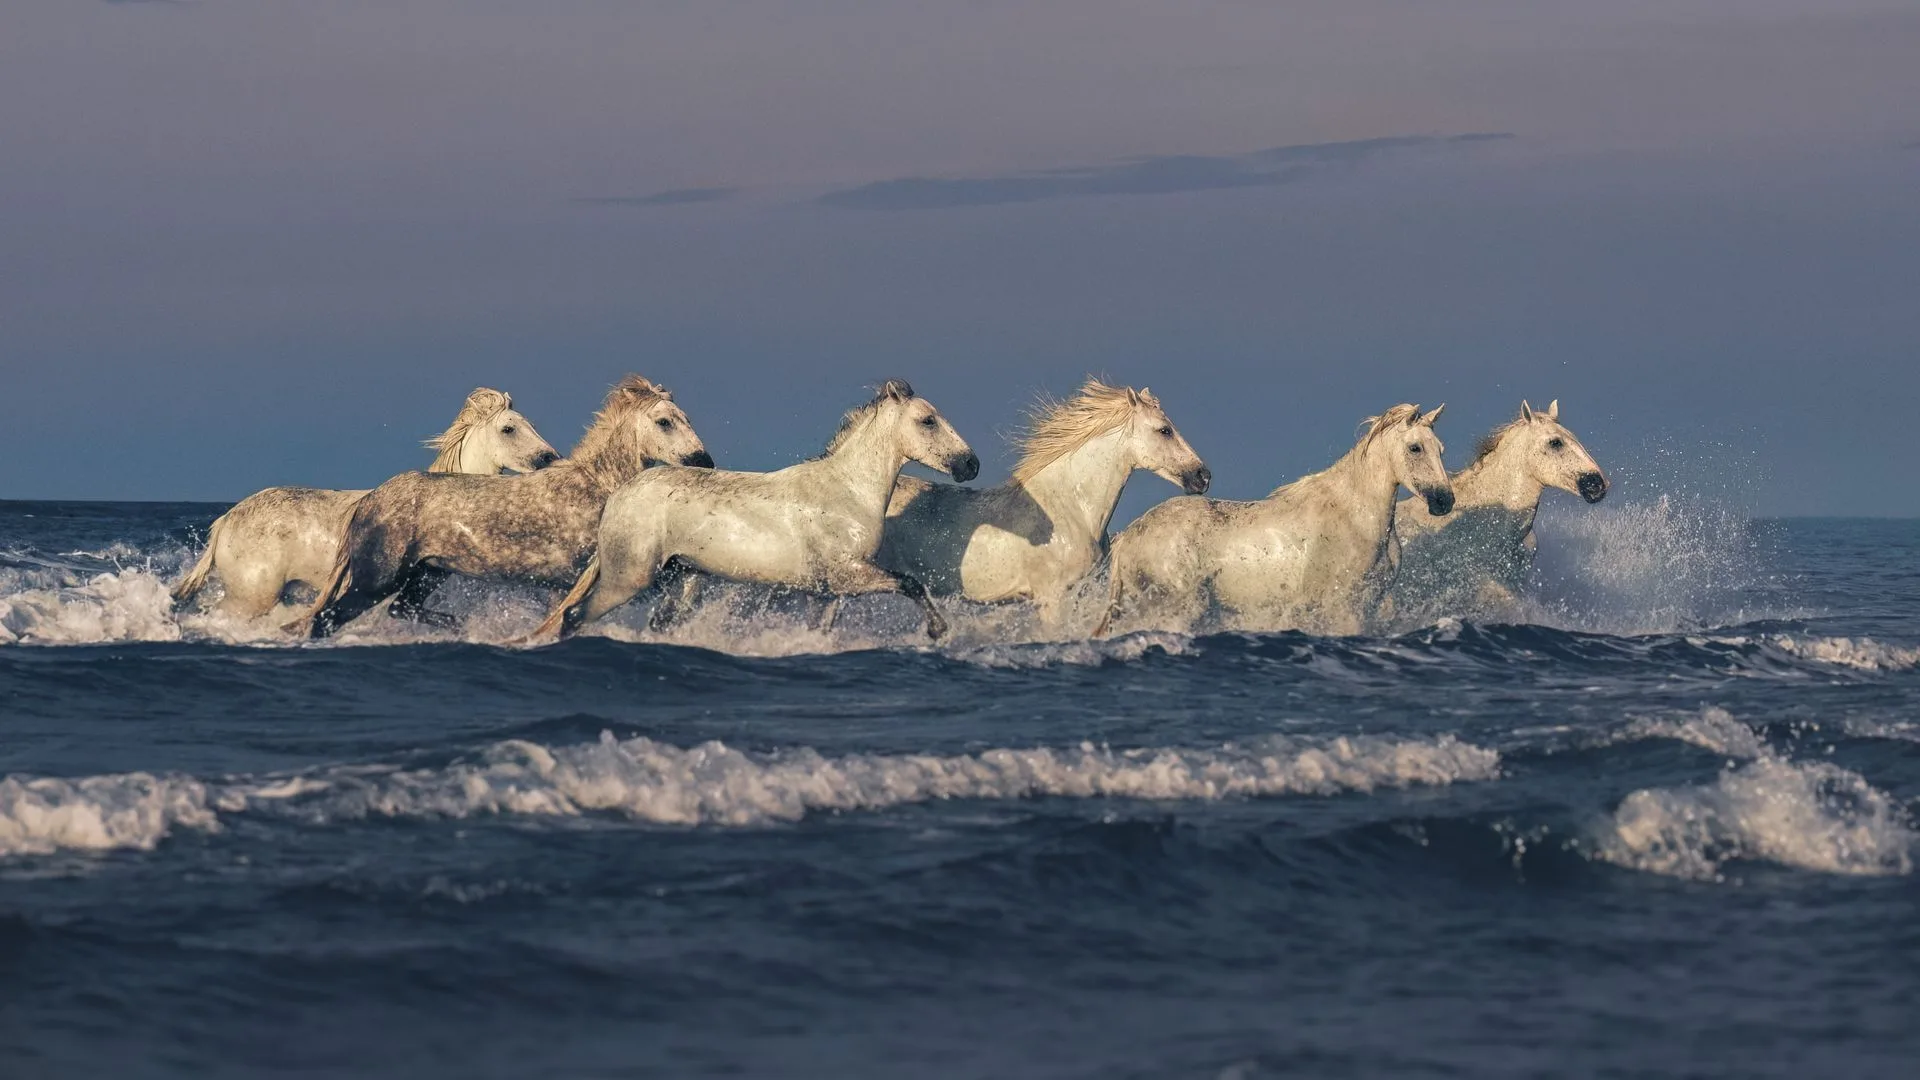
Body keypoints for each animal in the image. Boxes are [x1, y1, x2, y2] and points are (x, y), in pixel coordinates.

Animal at [294, 375, 712, 638]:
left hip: (428, 573)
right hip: (377, 579)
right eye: (664, 421)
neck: (595, 488)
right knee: (325, 619)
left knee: (401, 609)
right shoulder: (590, 573)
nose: (703, 461)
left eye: (686, 418)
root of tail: (368, 500)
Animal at [530, 380, 978, 643]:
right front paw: (938, 630)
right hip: (628, 579)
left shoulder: (831, 591)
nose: (970, 465)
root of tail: (621, 496)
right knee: (574, 616)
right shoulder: (848, 574)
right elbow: (911, 583)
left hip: (683, 579)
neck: (848, 491)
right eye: (928, 420)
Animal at [1095, 403, 1453, 637]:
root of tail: (1129, 536)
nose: (1443, 501)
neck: (1356, 516)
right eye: (1415, 448)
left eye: (1441, 449)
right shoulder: (1341, 606)